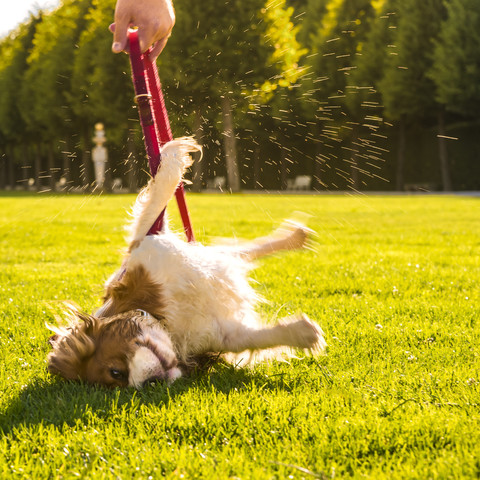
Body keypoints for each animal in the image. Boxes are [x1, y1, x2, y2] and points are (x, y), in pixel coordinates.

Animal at [47, 137, 326, 388]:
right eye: (119, 377)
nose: (151, 383)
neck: (165, 318)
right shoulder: (225, 336)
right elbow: (259, 338)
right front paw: (303, 332)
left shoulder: (145, 244)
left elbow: (158, 196)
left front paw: (171, 154)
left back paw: (294, 237)